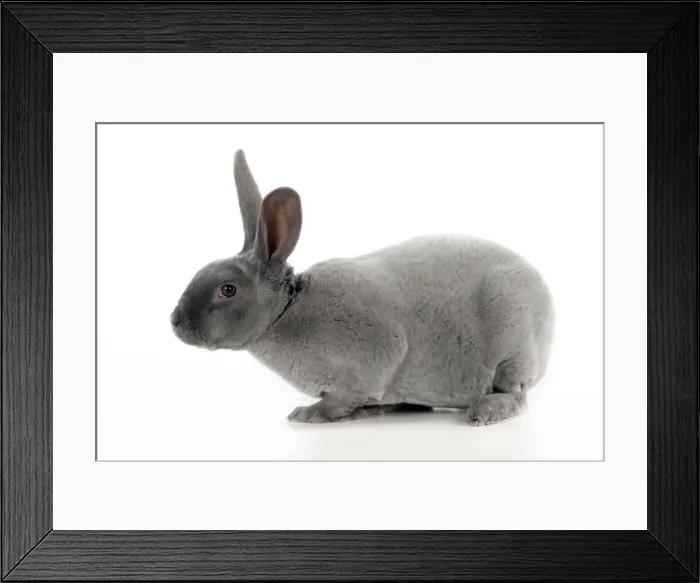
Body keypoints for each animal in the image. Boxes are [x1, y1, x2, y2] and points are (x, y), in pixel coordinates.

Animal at [171, 150, 555, 425]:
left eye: (227, 289)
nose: (175, 323)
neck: (286, 311)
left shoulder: (377, 354)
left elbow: (343, 398)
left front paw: (310, 414)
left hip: (513, 348)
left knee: (517, 395)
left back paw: (484, 411)